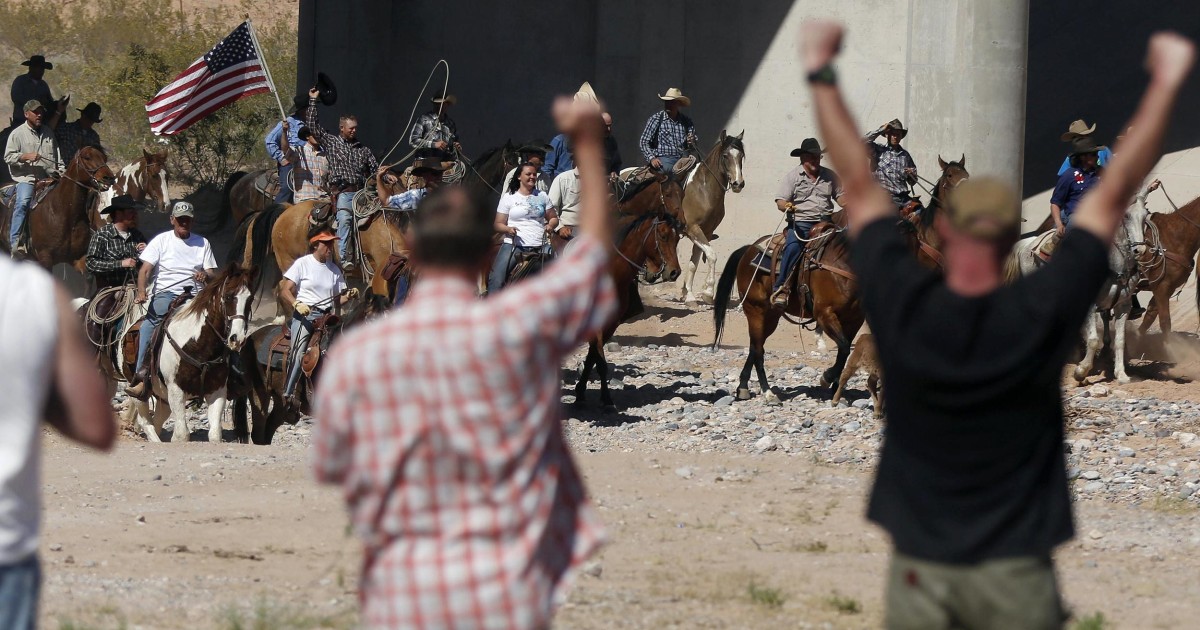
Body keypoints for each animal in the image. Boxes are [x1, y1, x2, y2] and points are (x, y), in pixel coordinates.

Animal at [124, 262, 255, 444]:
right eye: (229, 296)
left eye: (250, 299)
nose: (237, 338)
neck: (198, 345)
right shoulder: (175, 389)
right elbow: (182, 435)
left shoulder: (217, 391)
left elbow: (215, 434)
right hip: (140, 388)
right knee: (145, 419)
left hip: (162, 396)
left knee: (158, 419)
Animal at [578, 171, 691, 410]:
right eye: (663, 236)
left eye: (677, 238)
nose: (674, 272)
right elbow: (599, 359)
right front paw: (605, 399)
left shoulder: (611, 323)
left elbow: (594, 357)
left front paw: (582, 392)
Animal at [681, 130, 744, 302]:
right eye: (725, 156)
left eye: (741, 156)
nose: (738, 184)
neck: (703, 189)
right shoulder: (693, 228)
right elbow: (711, 255)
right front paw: (708, 292)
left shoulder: (706, 231)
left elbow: (694, 262)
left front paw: (689, 295)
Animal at [710, 223, 864, 405]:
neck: (841, 265)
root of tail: (749, 249)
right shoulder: (824, 314)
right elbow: (845, 348)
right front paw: (826, 378)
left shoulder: (854, 319)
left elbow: (843, 351)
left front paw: (836, 391)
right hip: (756, 311)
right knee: (758, 351)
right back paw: (768, 393)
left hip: (771, 318)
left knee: (755, 347)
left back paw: (743, 388)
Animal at [1003, 196, 1152, 384]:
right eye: (1126, 215)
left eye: (1145, 215)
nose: (1139, 249)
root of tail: (1027, 243)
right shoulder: (1090, 304)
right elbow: (1093, 339)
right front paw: (1081, 371)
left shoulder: (1122, 306)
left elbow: (1119, 340)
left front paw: (1121, 374)